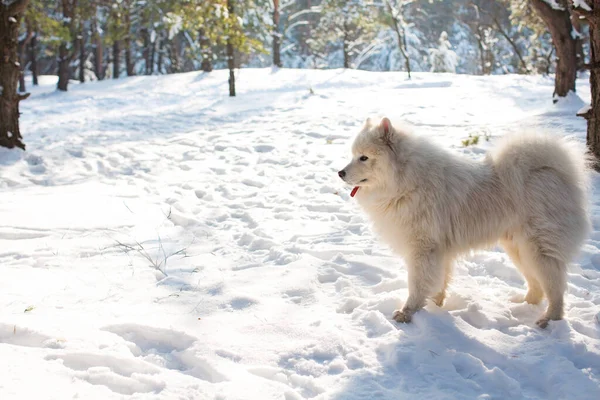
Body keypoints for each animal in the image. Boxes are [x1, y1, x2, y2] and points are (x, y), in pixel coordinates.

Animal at [338, 116, 592, 328]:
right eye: (353, 155)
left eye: (364, 157)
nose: (340, 173)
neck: (407, 182)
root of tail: (554, 171)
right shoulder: (439, 252)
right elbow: (439, 283)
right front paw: (435, 306)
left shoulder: (423, 249)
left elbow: (418, 284)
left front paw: (407, 313)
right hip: (518, 248)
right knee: (537, 286)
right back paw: (521, 305)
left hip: (538, 249)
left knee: (555, 288)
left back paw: (548, 320)